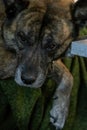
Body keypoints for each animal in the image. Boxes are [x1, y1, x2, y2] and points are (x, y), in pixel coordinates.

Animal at [0, 0, 87, 129]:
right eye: (22, 38)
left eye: (52, 45)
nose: (27, 81)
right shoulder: (4, 61)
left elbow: (69, 76)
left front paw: (60, 111)